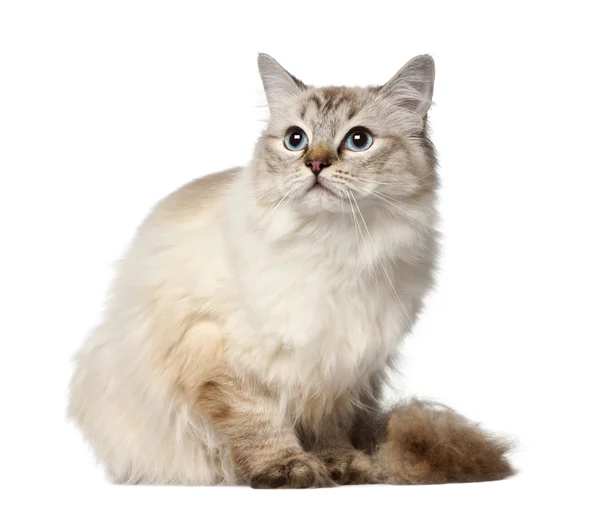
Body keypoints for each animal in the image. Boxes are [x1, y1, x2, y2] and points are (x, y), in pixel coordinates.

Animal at [68, 54, 512, 486]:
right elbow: (258, 422)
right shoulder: (222, 351)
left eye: (359, 140)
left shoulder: (340, 367)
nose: (315, 163)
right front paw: (287, 468)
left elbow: (330, 429)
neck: (333, 246)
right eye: (295, 139)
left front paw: (340, 465)